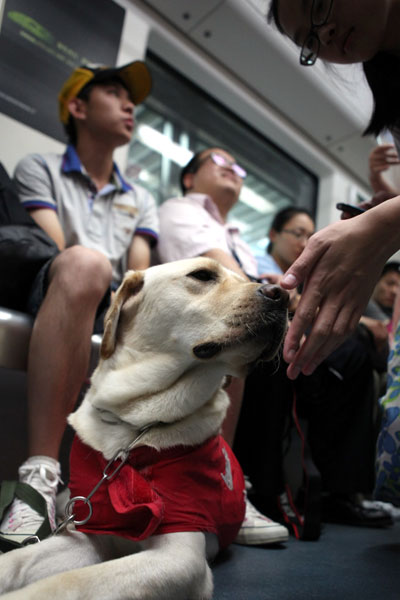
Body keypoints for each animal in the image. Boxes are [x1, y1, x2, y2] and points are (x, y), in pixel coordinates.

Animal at [0, 258, 288, 600]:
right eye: (202, 275)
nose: (283, 294)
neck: (136, 422)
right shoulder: (91, 532)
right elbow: (17, 561)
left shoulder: (180, 554)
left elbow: (68, 583)